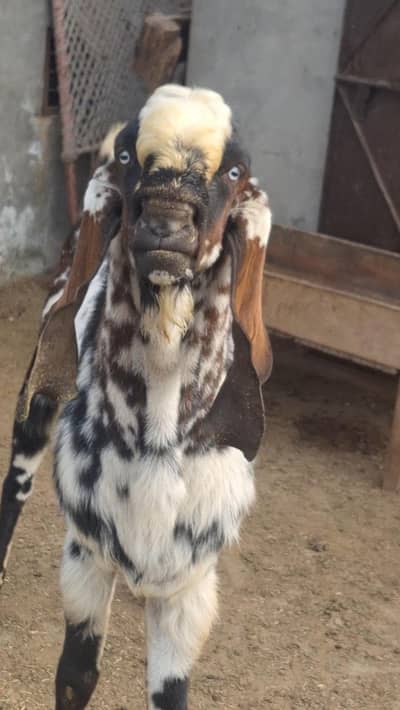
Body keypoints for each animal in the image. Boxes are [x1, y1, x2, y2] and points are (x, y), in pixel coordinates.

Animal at [0, 85, 272, 709]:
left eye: (235, 172)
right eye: (128, 158)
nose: (166, 220)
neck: (155, 439)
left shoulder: (189, 589)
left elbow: (170, 694)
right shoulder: (85, 557)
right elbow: (75, 675)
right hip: (37, 395)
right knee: (16, 479)